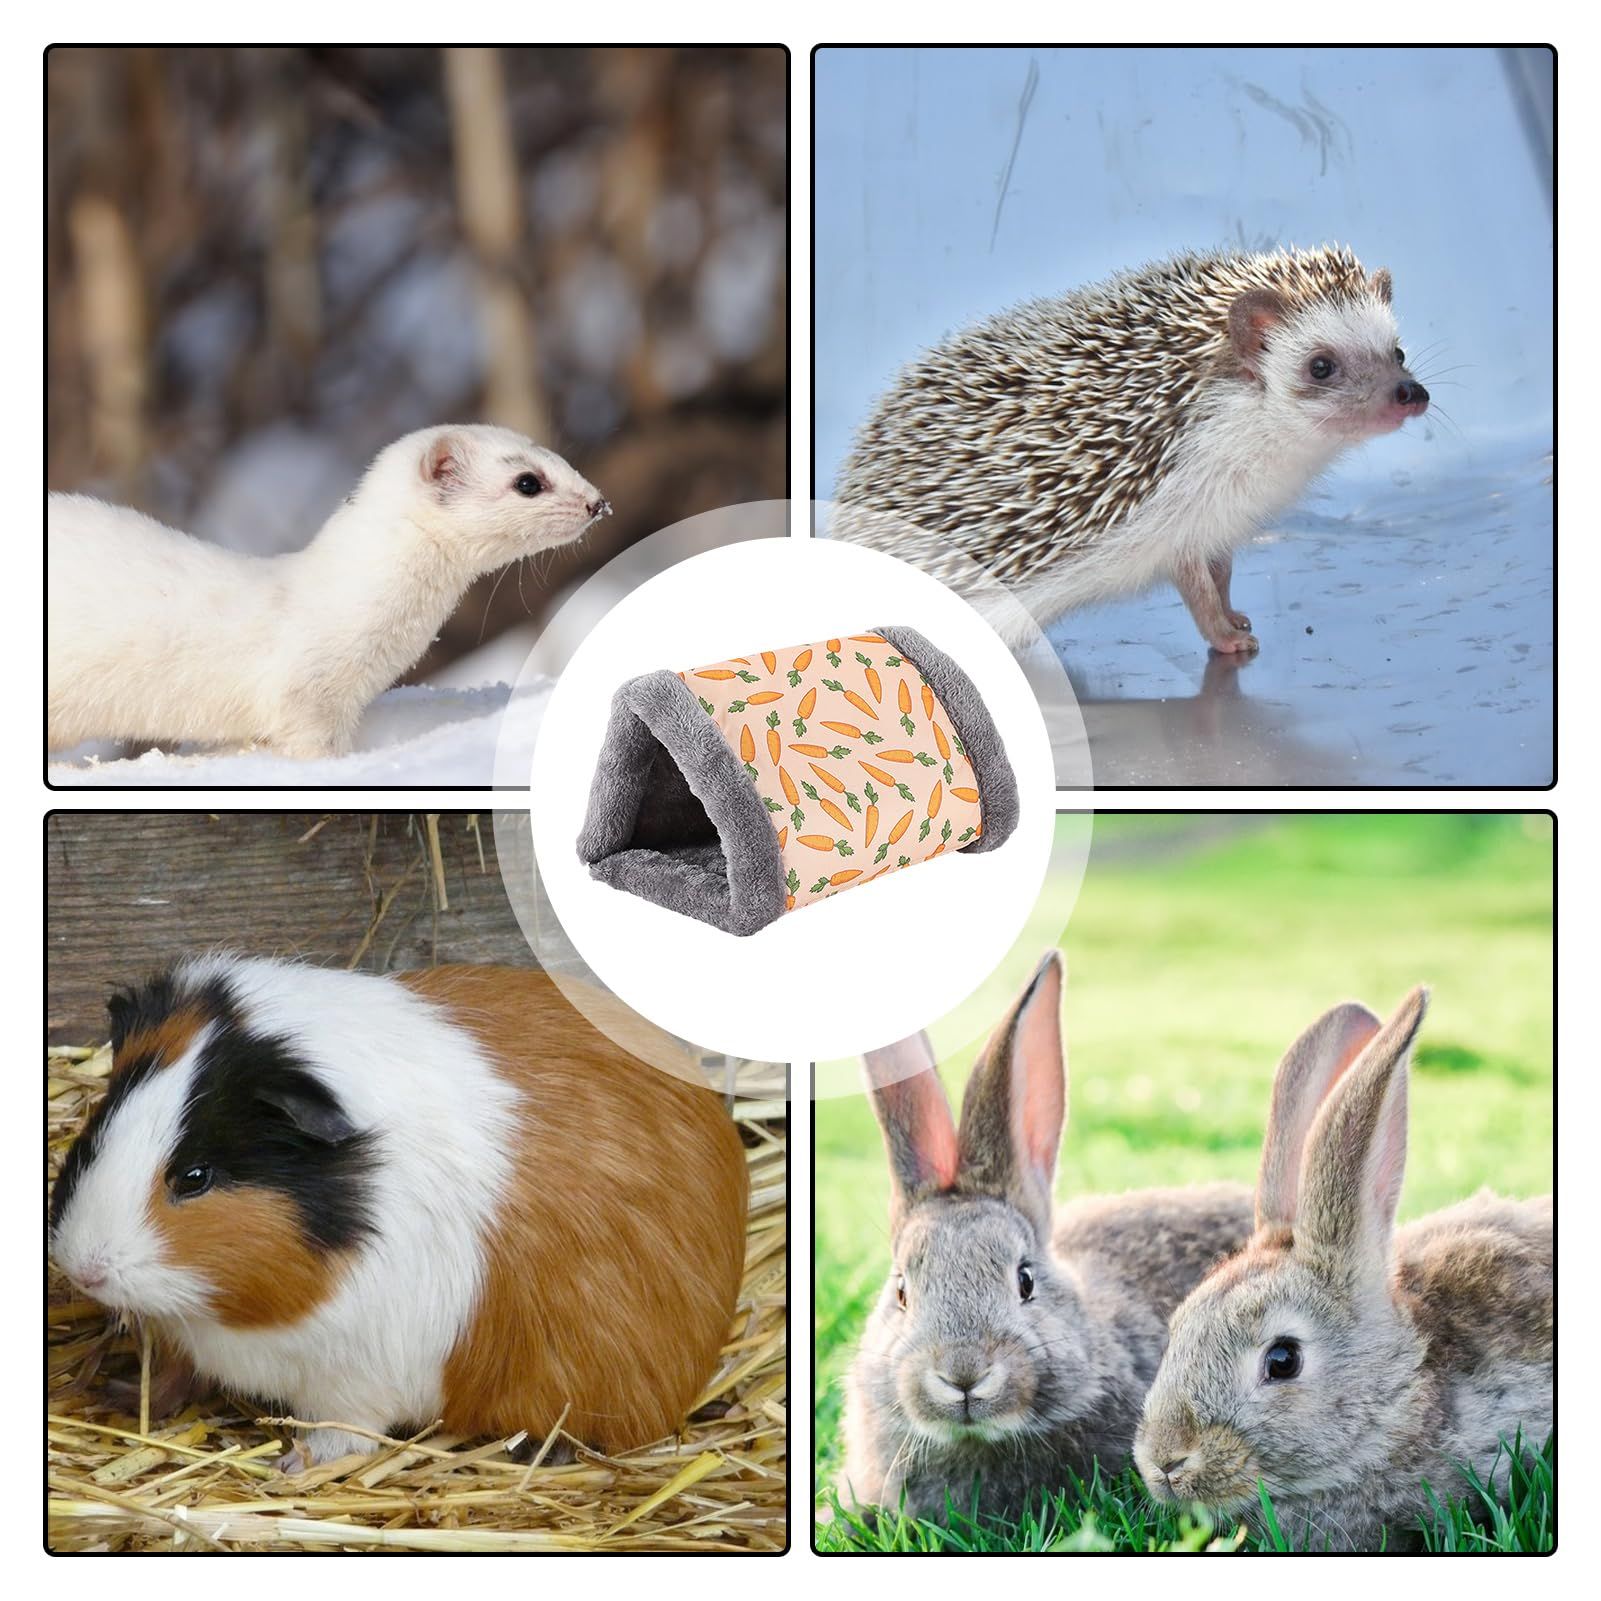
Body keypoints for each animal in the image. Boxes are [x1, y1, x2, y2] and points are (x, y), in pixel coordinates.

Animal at [49, 958, 748, 1468]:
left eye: (195, 1177)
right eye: (98, 1128)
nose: (84, 1269)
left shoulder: (358, 1375)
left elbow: (347, 1431)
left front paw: (295, 1463)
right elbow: (175, 1374)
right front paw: (117, 1395)